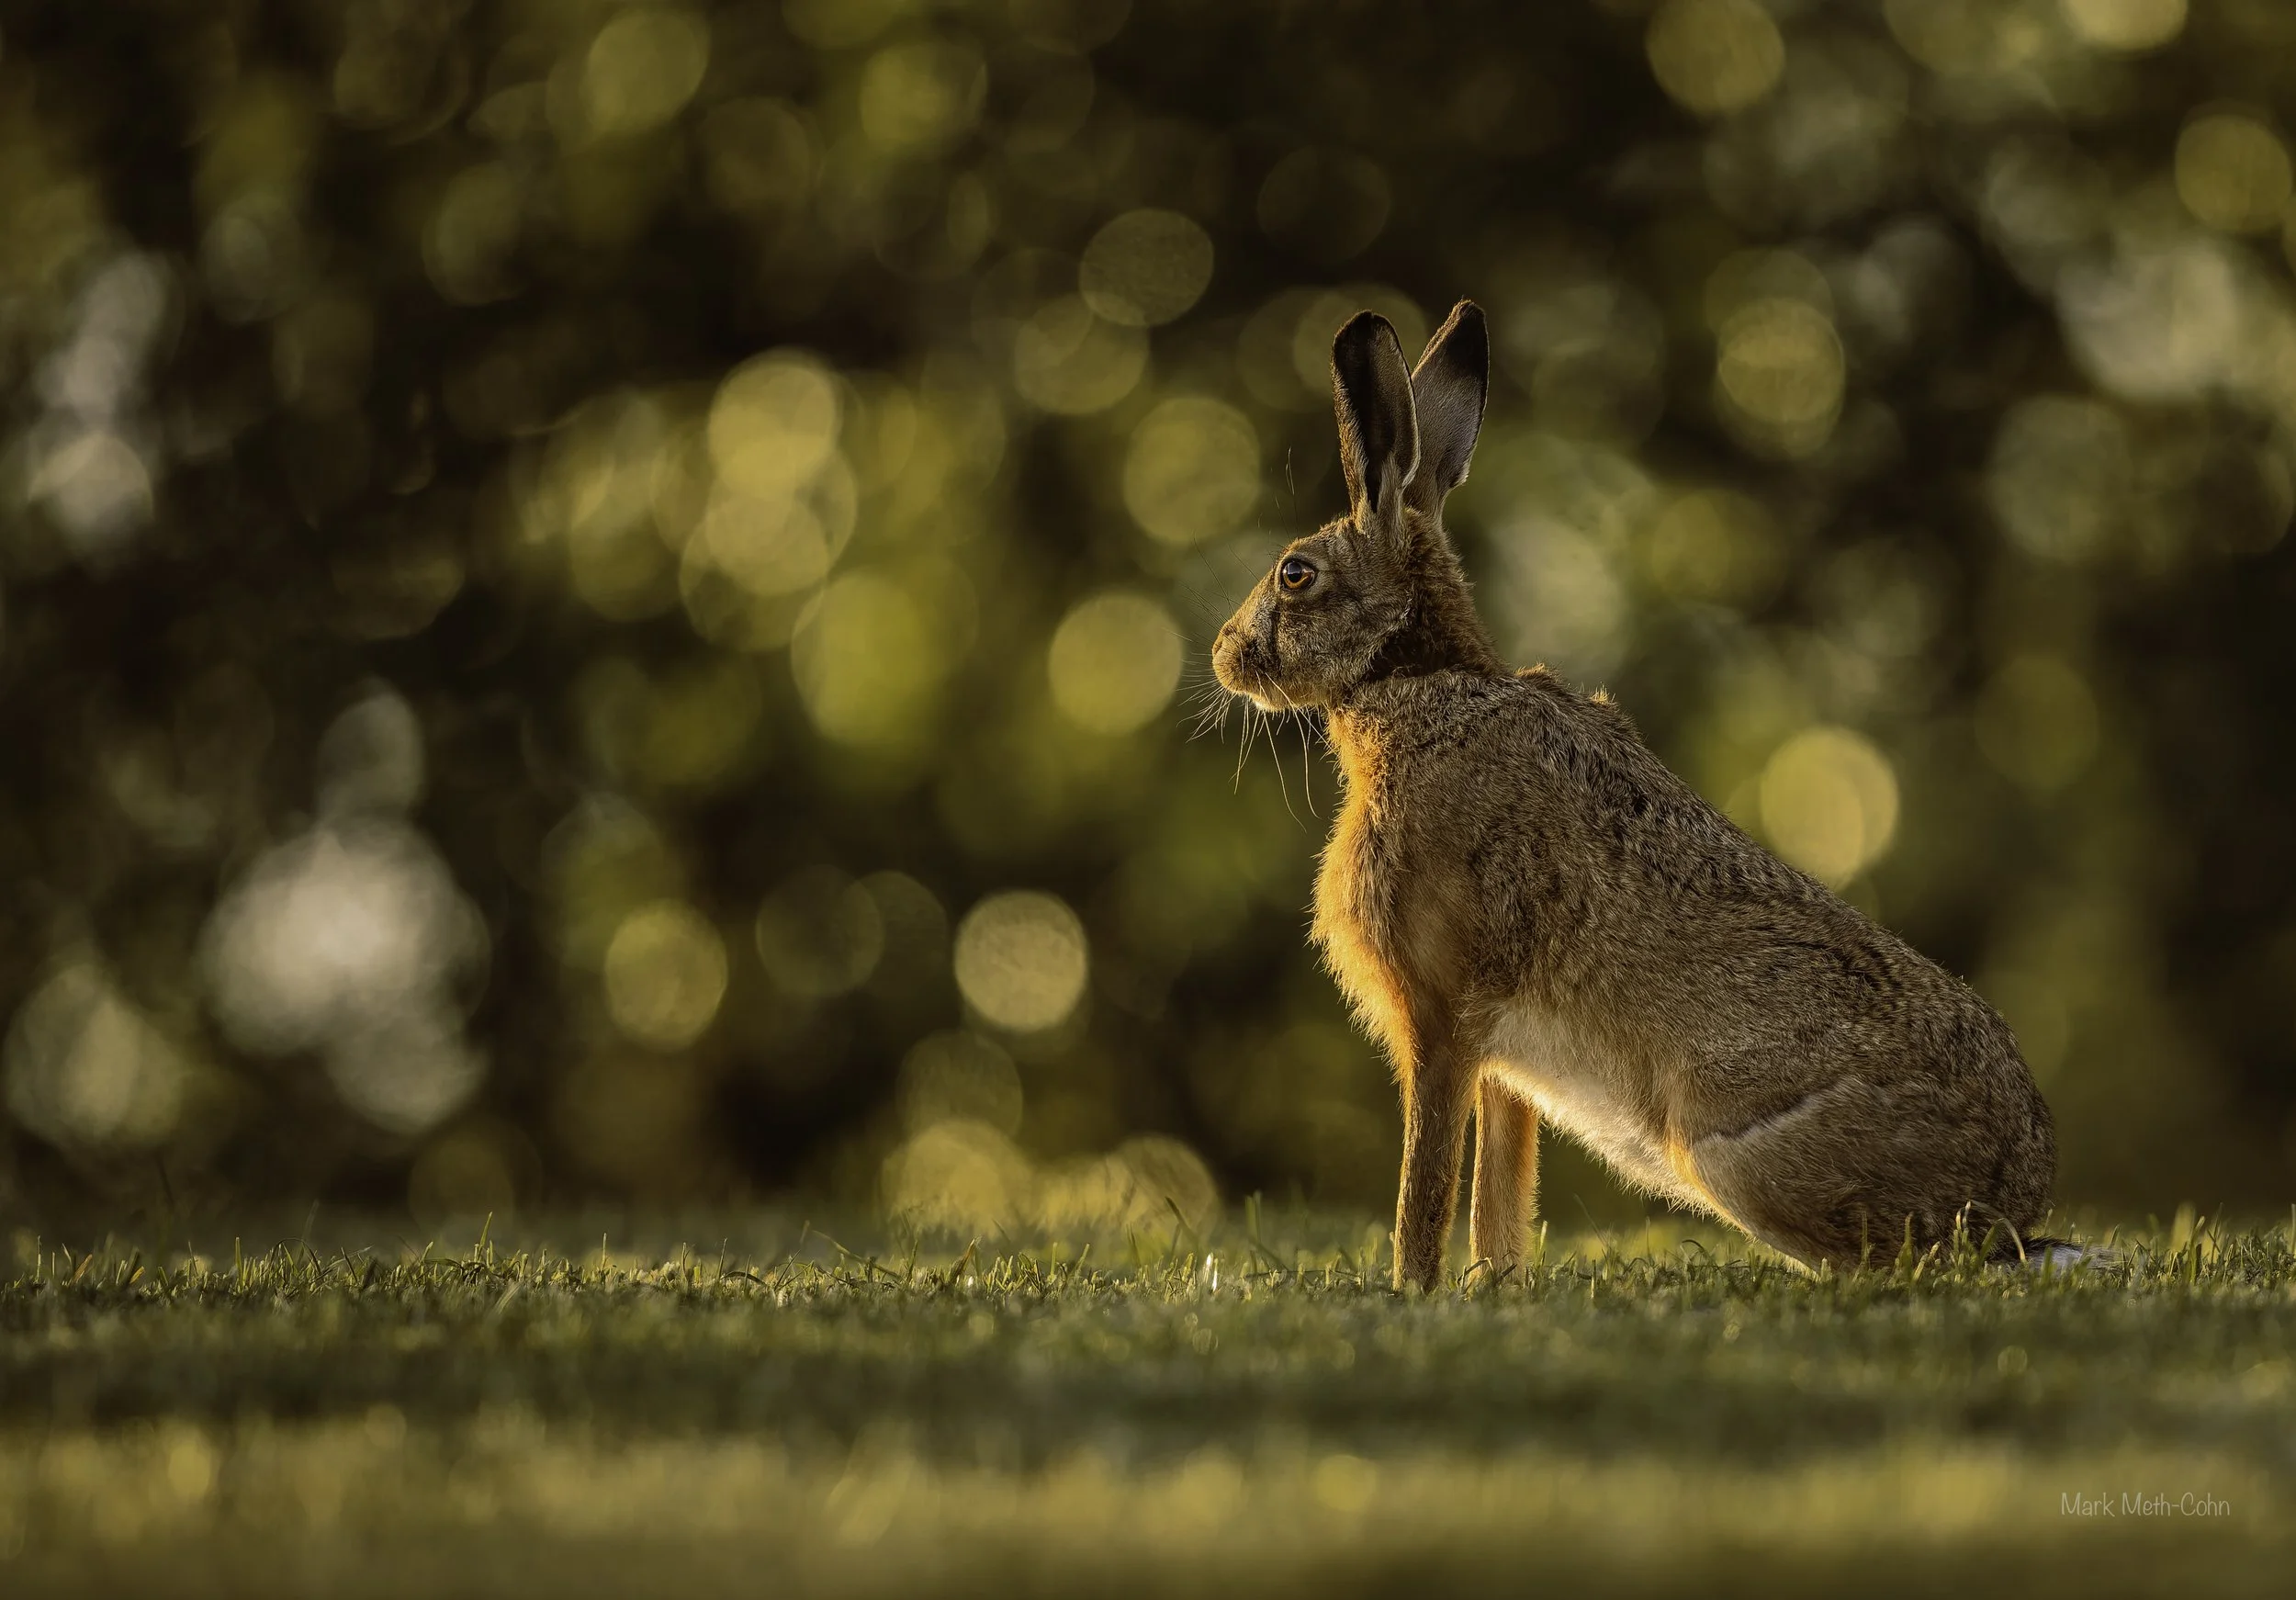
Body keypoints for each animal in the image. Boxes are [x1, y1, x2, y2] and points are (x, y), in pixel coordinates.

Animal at [1210, 300, 2058, 1291]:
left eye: (1294, 573)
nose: (1224, 653)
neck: (1416, 680)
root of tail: (2011, 1199)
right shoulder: (1503, 1064)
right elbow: (1500, 1187)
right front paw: (1493, 1285)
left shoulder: (1441, 1016)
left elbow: (1427, 1182)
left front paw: (1410, 1289)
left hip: (1737, 1156)